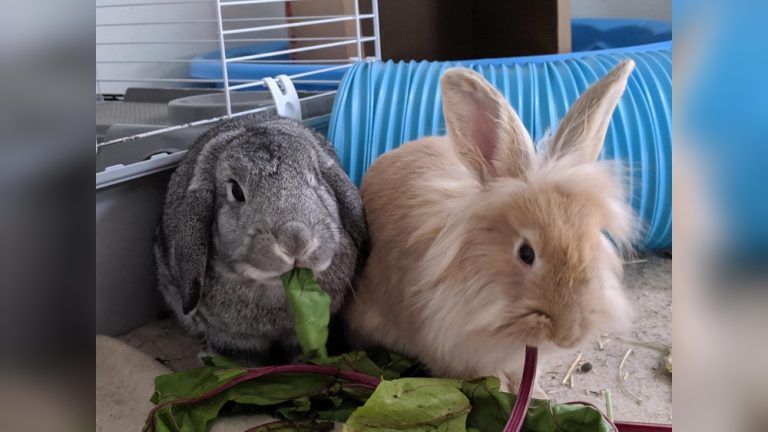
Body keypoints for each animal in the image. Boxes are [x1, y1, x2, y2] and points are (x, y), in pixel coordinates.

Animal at [344, 61, 638, 394]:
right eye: (525, 253)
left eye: (594, 243)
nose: (568, 333)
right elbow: (489, 376)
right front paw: (508, 393)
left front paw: (537, 393)